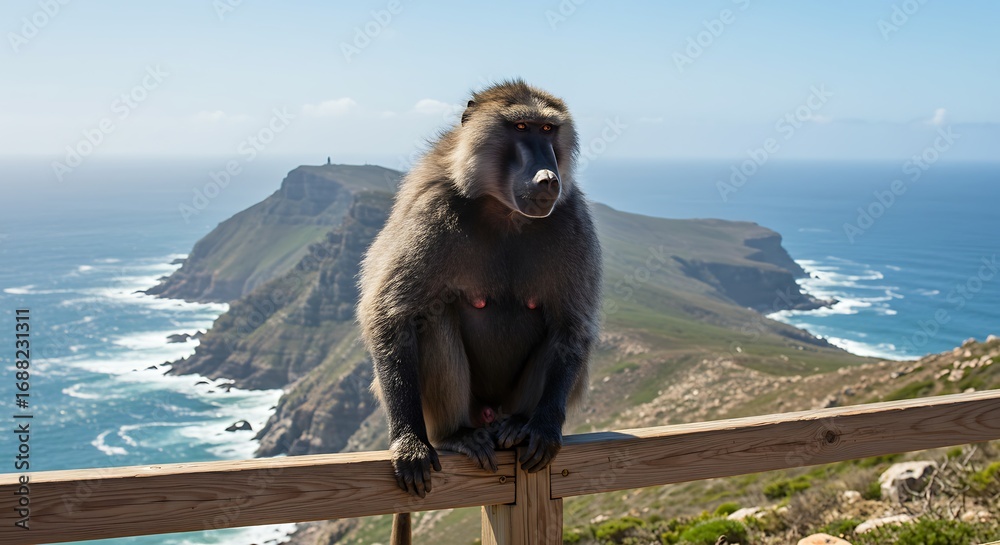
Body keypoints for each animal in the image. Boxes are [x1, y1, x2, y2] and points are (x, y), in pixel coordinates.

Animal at [357, 79, 601, 543]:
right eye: (521, 126)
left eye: (548, 129)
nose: (548, 177)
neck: (504, 211)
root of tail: (489, 416)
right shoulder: (432, 211)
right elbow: (392, 315)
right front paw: (409, 442)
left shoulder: (573, 218)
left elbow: (572, 326)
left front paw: (544, 427)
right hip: (452, 408)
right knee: (432, 317)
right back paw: (457, 436)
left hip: (510, 402)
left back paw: (520, 425)